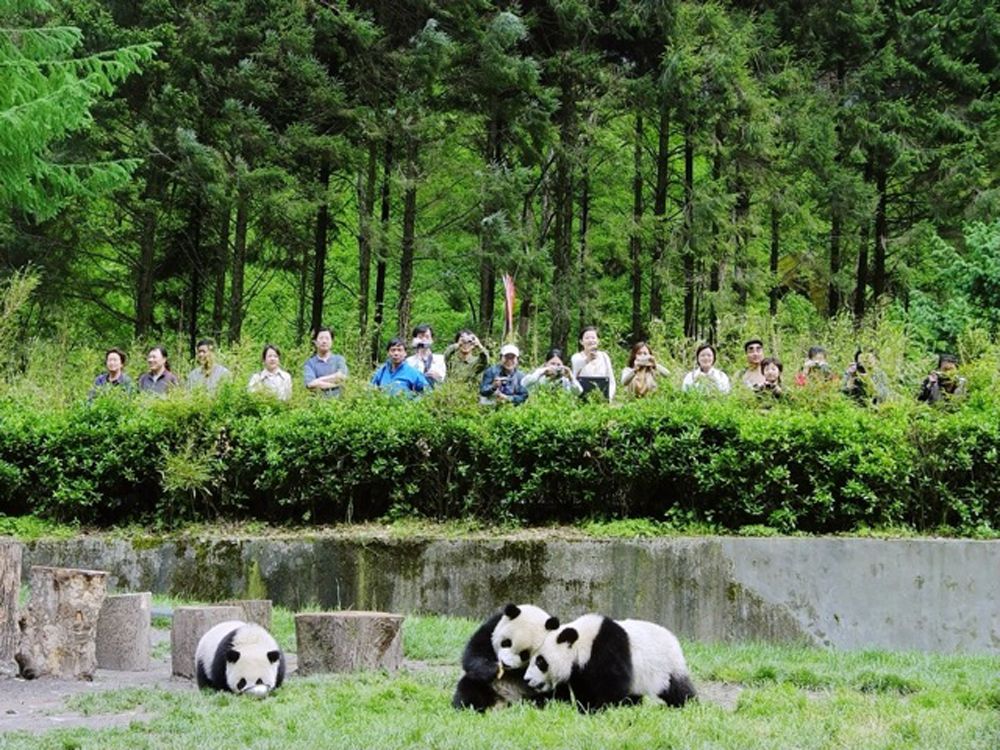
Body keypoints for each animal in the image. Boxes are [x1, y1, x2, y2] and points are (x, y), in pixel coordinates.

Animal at [524, 612, 696, 712]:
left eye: (540, 662)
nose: (527, 679)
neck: (584, 643)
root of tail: (674, 639)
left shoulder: (608, 649)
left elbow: (613, 683)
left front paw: (600, 709)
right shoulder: (580, 670)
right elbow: (584, 688)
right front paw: (586, 708)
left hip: (666, 666)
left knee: (677, 688)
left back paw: (687, 704)